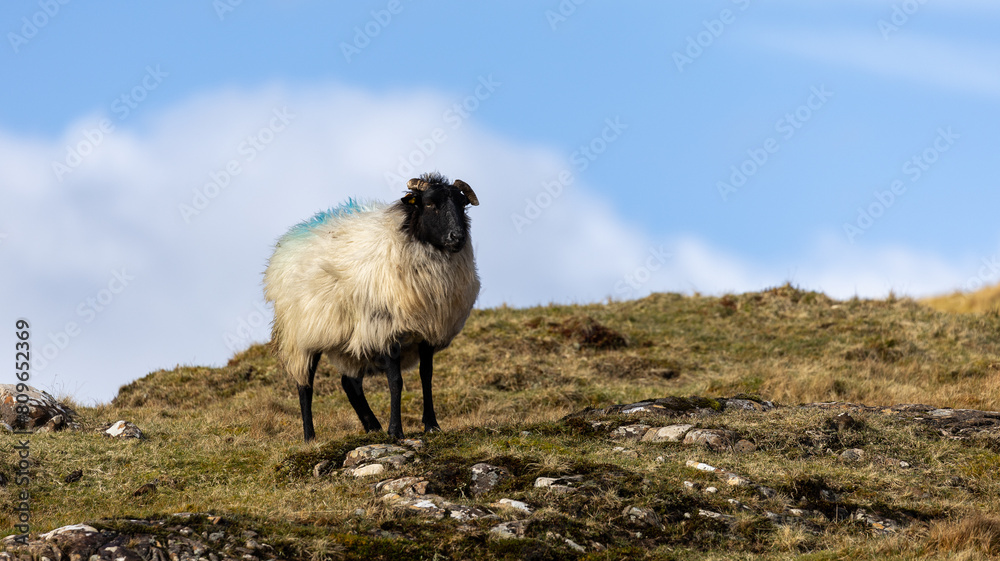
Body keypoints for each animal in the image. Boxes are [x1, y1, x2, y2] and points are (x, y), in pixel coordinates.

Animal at [264, 172, 480, 441]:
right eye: (430, 204)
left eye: (461, 204)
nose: (457, 237)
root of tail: (286, 244)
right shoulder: (386, 330)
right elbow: (395, 381)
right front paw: (395, 431)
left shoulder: (427, 331)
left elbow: (426, 377)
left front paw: (432, 425)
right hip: (302, 335)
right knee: (305, 385)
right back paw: (310, 436)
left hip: (349, 339)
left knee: (350, 383)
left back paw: (372, 426)